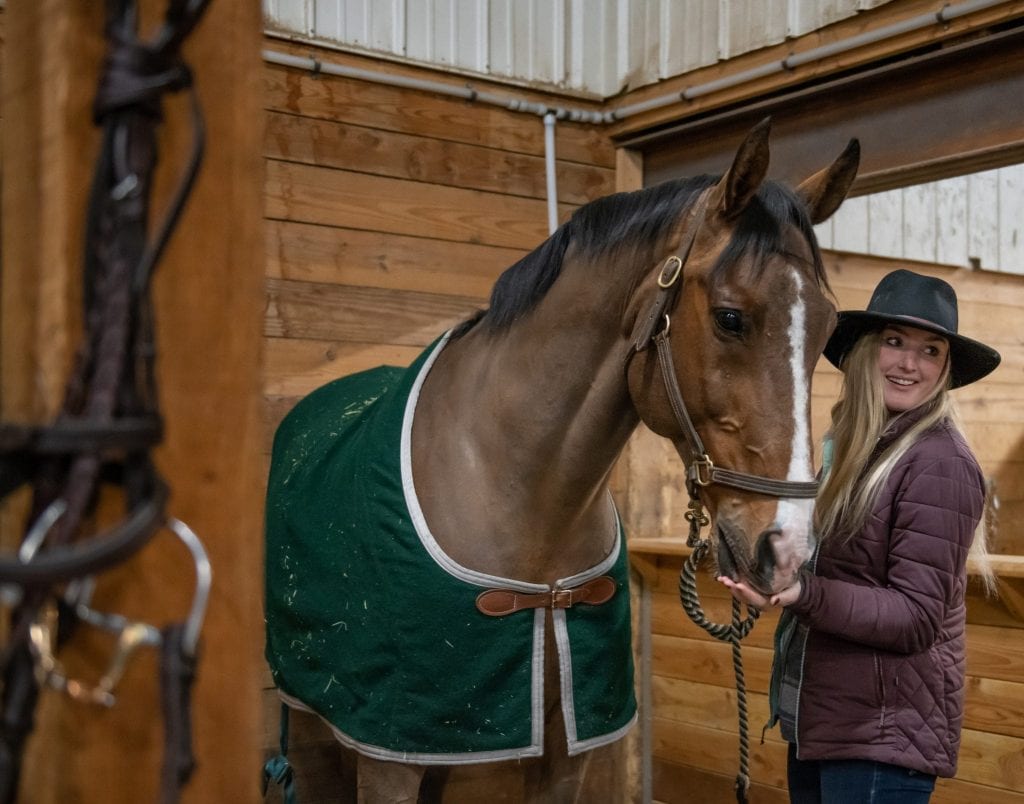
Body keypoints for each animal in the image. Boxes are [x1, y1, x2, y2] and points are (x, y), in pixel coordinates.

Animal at [264, 119, 856, 802]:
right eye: (731, 318)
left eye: (827, 328)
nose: (787, 549)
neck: (519, 494)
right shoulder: (390, 751)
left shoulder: (564, 742)